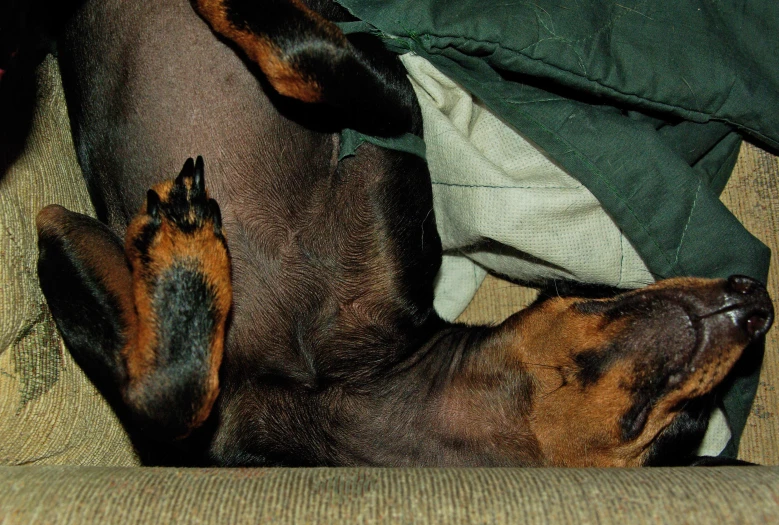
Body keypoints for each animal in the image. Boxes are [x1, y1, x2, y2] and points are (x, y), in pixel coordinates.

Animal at [24, 0, 772, 466]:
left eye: (690, 425)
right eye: (597, 288)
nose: (758, 297)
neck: (350, 390)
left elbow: (170, 393)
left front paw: (175, 251)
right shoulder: (395, 116)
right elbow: (321, 61)